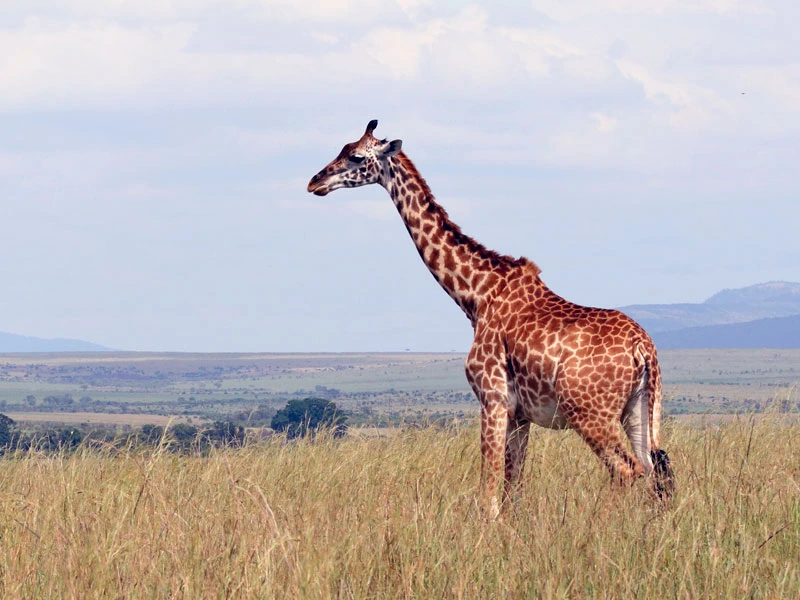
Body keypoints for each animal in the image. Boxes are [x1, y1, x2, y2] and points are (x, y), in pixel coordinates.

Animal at [307, 120, 674, 516]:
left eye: (357, 157)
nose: (315, 182)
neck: (476, 296)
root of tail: (643, 348)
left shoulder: (492, 398)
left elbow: (489, 492)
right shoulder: (520, 413)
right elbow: (513, 488)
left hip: (590, 413)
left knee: (626, 469)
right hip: (640, 407)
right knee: (654, 468)